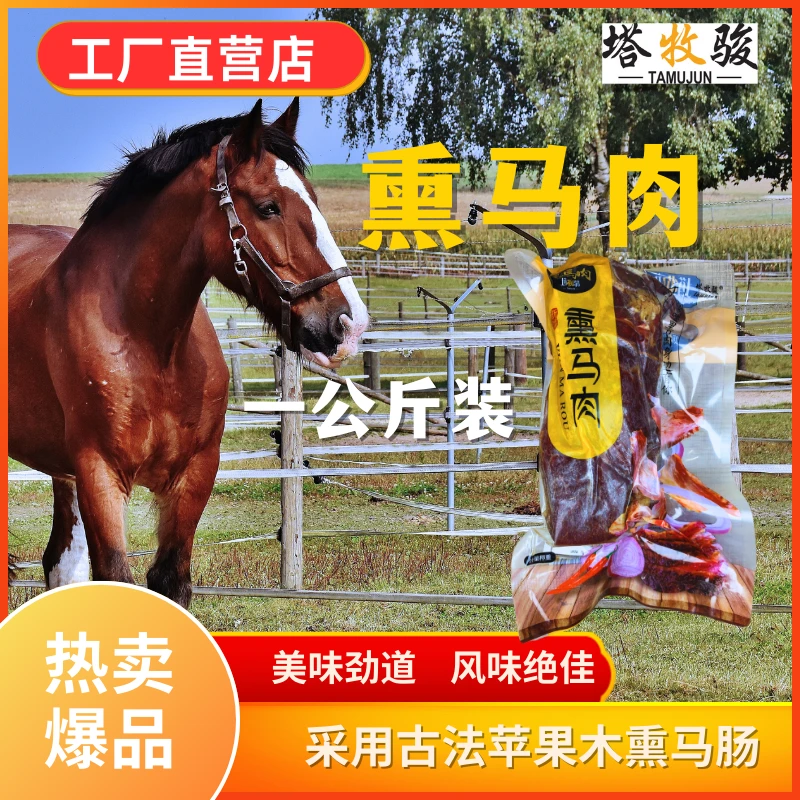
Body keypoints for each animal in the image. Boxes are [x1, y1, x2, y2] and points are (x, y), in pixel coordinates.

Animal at [8, 98, 369, 608]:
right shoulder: (99, 475)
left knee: (62, 562)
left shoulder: (193, 475)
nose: (348, 323)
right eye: (269, 207)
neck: (151, 346)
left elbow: (170, 582)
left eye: (316, 201)